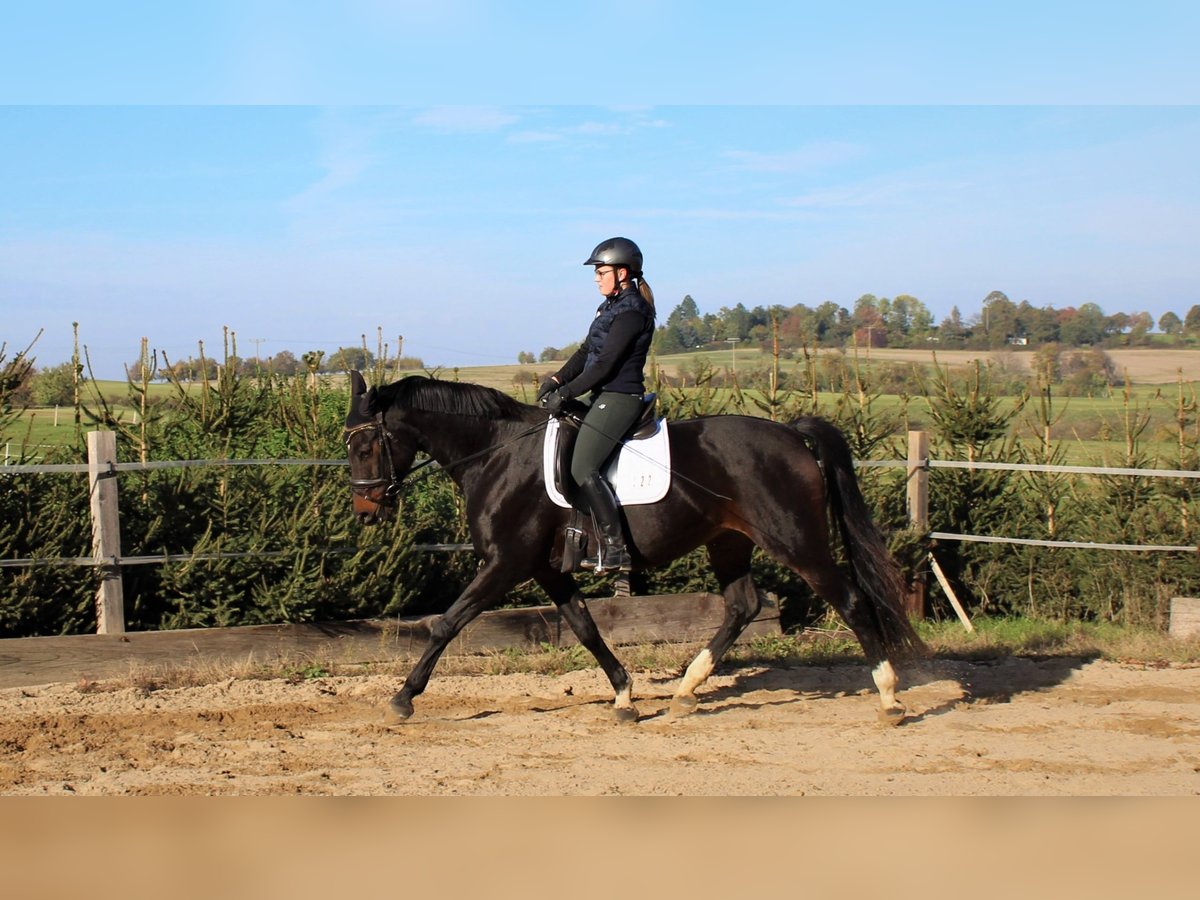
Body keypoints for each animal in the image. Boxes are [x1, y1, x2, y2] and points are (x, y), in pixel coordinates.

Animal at [343, 372, 921, 724]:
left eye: (366, 444)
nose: (366, 510)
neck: (497, 454)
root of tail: (792, 434)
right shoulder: (547, 570)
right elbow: (584, 627)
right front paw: (624, 695)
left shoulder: (506, 563)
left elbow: (447, 622)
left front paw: (402, 698)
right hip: (729, 541)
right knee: (743, 605)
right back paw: (686, 691)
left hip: (794, 538)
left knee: (849, 599)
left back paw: (889, 695)